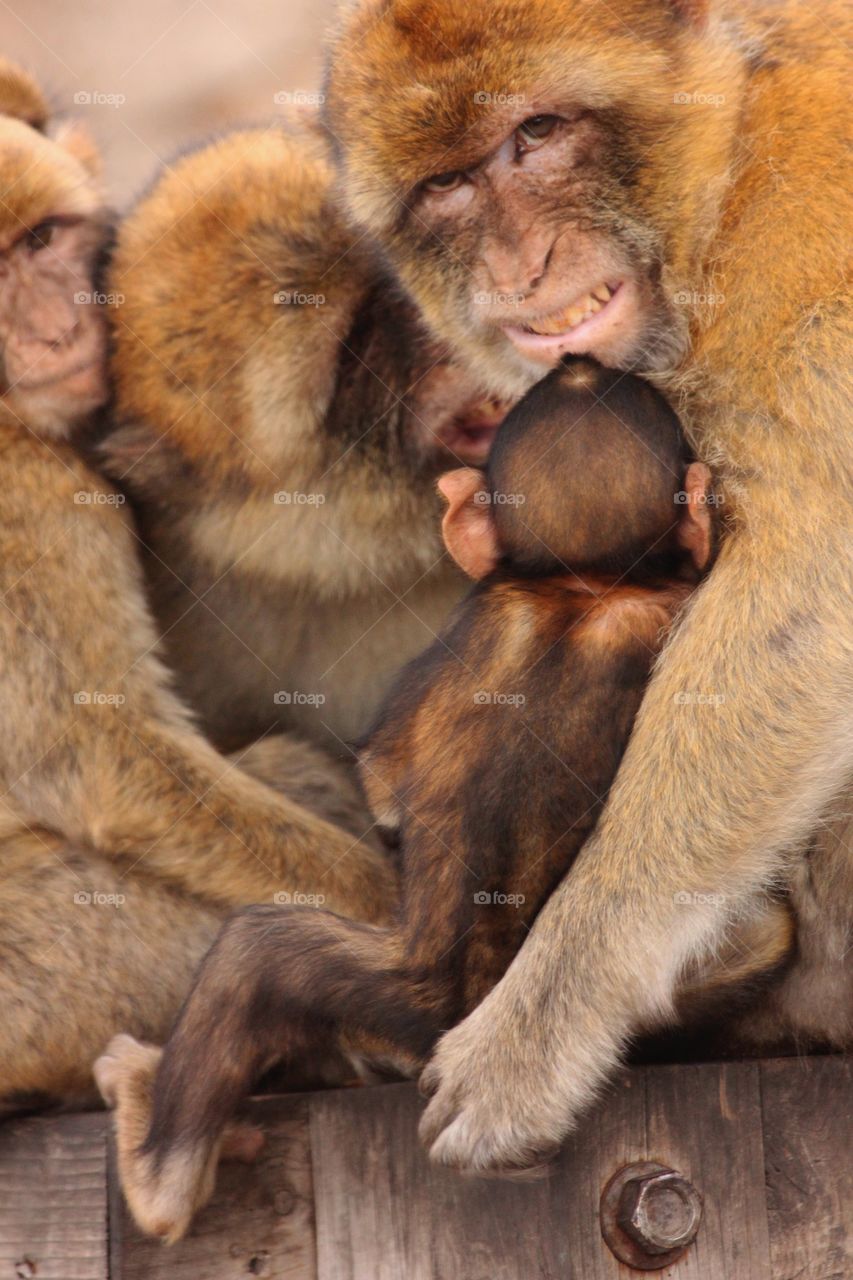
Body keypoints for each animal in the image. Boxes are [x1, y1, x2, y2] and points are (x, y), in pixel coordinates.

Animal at [94, 357, 794, 1241]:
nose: (579, 362)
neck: (589, 590)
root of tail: (458, 1002)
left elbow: (384, 774)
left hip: (398, 996)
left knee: (252, 957)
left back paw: (156, 1171)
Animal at [321, 0, 853, 1172]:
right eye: (447, 185)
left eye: (537, 135)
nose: (522, 265)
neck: (718, 186)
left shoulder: (801, 263)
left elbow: (811, 584)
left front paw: (550, 1011)